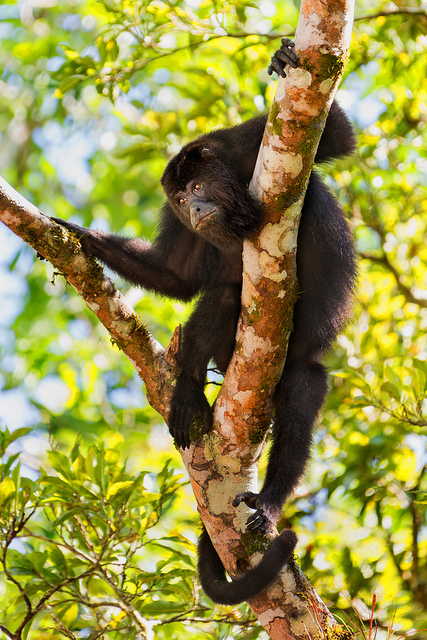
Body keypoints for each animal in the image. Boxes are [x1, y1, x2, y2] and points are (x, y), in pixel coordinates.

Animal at [52, 38, 356, 603]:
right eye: (178, 197)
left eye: (197, 185)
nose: (193, 209)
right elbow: (176, 275)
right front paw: (72, 233)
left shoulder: (243, 144)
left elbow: (339, 135)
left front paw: (284, 61)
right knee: (223, 295)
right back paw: (190, 389)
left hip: (298, 359)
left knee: (303, 384)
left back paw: (269, 502)